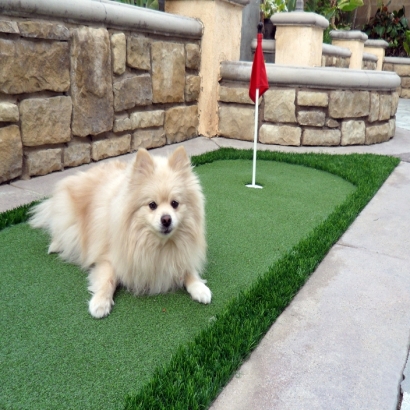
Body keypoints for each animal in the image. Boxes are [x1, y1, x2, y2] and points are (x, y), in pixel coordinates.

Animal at [29, 146, 211, 318]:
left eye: (175, 204)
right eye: (152, 205)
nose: (166, 219)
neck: (157, 245)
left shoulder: (181, 256)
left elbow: (188, 270)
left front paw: (199, 287)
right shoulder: (109, 257)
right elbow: (108, 279)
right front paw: (100, 302)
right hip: (69, 221)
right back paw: (56, 245)